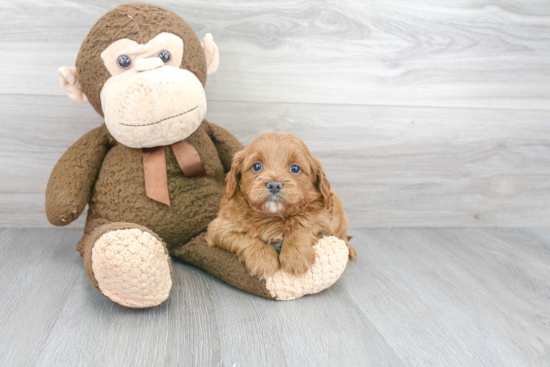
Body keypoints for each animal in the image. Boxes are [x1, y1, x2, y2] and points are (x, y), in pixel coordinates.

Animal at [207, 133, 358, 278]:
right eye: (257, 166)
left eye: (295, 168)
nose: (274, 185)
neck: (273, 217)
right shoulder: (219, 228)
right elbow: (245, 238)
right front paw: (263, 261)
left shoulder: (322, 219)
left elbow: (303, 224)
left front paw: (296, 257)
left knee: (342, 234)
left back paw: (350, 250)